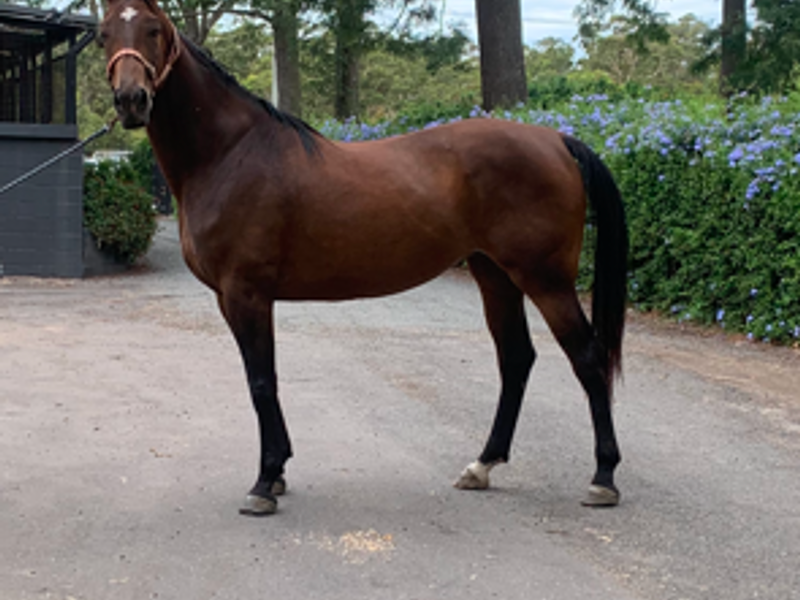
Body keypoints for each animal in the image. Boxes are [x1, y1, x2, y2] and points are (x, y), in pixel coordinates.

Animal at [99, 0, 628, 516]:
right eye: (104, 33)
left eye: (152, 29)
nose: (131, 100)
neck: (230, 153)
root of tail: (556, 140)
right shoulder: (236, 299)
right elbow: (264, 379)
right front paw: (280, 471)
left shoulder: (245, 293)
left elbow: (261, 381)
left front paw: (265, 481)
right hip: (495, 274)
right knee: (516, 358)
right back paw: (482, 466)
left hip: (545, 280)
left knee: (587, 357)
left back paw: (603, 477)